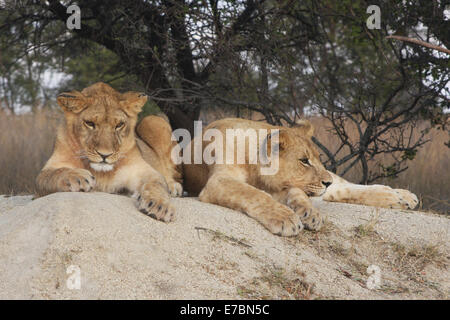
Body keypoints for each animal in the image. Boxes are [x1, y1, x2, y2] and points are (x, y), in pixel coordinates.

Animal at [36, 82, 182, 221]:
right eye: (90, 123)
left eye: (119, 125)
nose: (104, 155)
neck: (101, 173)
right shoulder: (47, 172)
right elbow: (53, 174)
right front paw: (77, 176)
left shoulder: (143, 171)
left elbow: (157, 184)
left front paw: (161, 206)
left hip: (152, 120)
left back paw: (173, 186)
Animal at [171, 117, 416, 235]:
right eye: (304, 160)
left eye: (317, 158)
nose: (326, 182)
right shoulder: (219, 181)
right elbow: (254, 194)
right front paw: (287, 218)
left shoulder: (287, 186)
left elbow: (297, 193)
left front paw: (310, 213)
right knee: (341, 191)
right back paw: (398, 198)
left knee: (345, 186)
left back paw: (401, 196)